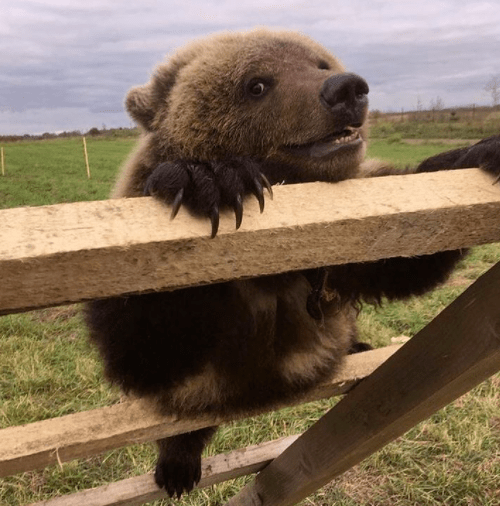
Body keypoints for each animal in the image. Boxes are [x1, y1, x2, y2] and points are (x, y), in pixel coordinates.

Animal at [85, 27, 500, 498]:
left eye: (320, 63)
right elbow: (144, 345)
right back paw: (178, 463)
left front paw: (481, 151)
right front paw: (208, 178)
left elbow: (403, 256)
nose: (346, 88)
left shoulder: (336, 251)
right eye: (257, 84)